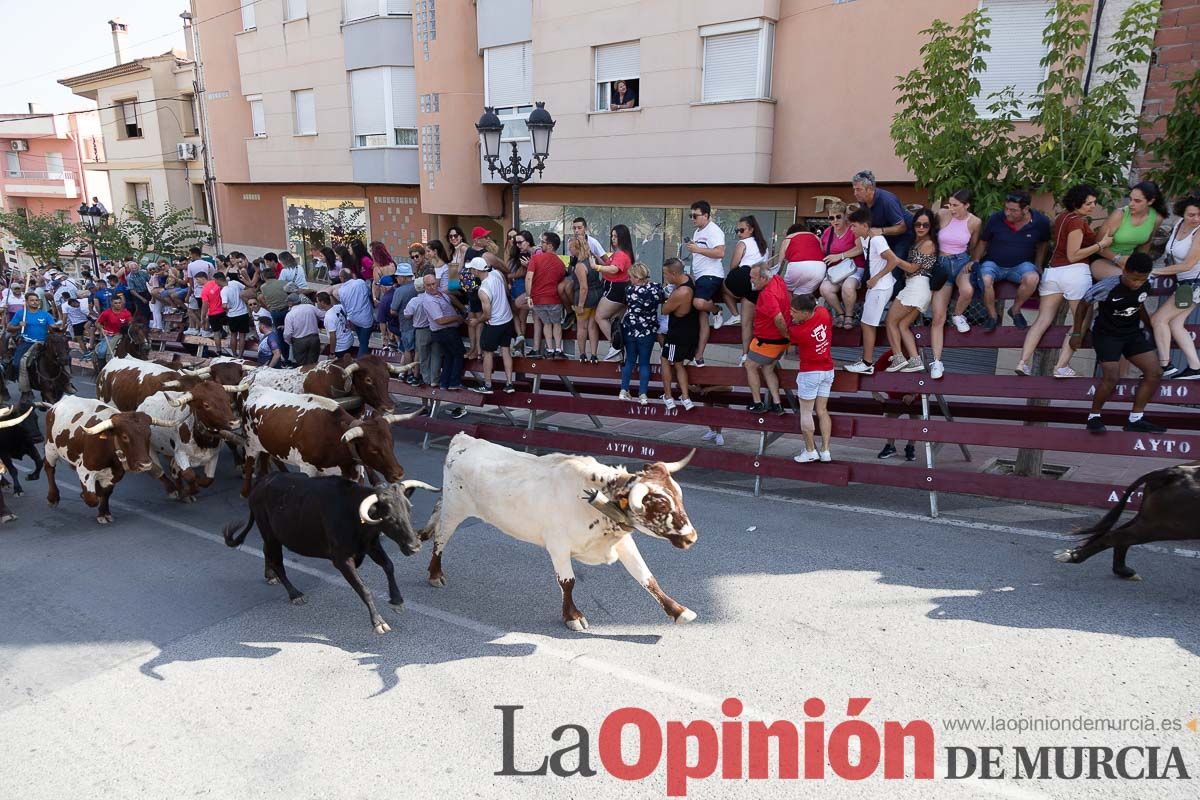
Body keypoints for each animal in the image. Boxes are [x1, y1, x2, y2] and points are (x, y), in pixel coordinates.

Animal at [42, 395, 176, 525]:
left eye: (149, 434)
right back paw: (52, 498)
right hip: (50, 448)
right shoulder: (85, 470)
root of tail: (59, 402)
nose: (145, 464)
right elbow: (92, 498)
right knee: (49, 468)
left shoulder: (115, 474)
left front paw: (103, 514)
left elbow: (105, 493)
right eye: (125, 437)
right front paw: (84, 495)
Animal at [237, 386, 417, 496]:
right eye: (373, 449)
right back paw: (245, 492)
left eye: (391, 443)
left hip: (266, 444)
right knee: (249, 464)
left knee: (265, 460)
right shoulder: (308, 469)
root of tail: (258, 388)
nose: (399, 473)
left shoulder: (352, 474)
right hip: (250, 444)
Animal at [424, 438, 700, 633]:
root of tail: (463, 439)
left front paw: (678, 611)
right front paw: (572, 616)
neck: (591, 498)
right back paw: (435, 573)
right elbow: (568, 582)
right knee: (440, 538)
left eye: (679, 495)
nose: (692, 538)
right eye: (661, 505)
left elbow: (647, 577)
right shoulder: (558, 546)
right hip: (454, 509)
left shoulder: (623, 542)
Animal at [1060, 462, 1200, 582]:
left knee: (1120, 535)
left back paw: (1124, 571)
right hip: (1166, 526)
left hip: (1151, 519)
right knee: (1118, 536)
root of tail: (1176, 472)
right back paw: (1074, 557)